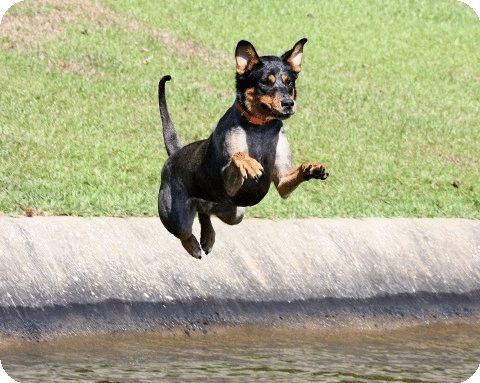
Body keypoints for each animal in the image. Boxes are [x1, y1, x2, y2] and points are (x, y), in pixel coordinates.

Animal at [159, 39, 328, 260]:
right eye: (265, 82)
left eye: (288, 81)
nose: (289, 103)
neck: (260, 127)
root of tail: (174, 154)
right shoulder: (227, 183)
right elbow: (238, 155)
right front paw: (250, 163)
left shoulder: (282, 180)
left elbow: (294, 174)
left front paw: (312, 167)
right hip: (176, 216)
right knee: (184, 232)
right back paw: (194, 246)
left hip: (234, 213)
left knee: (205, 212)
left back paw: (208, 237)